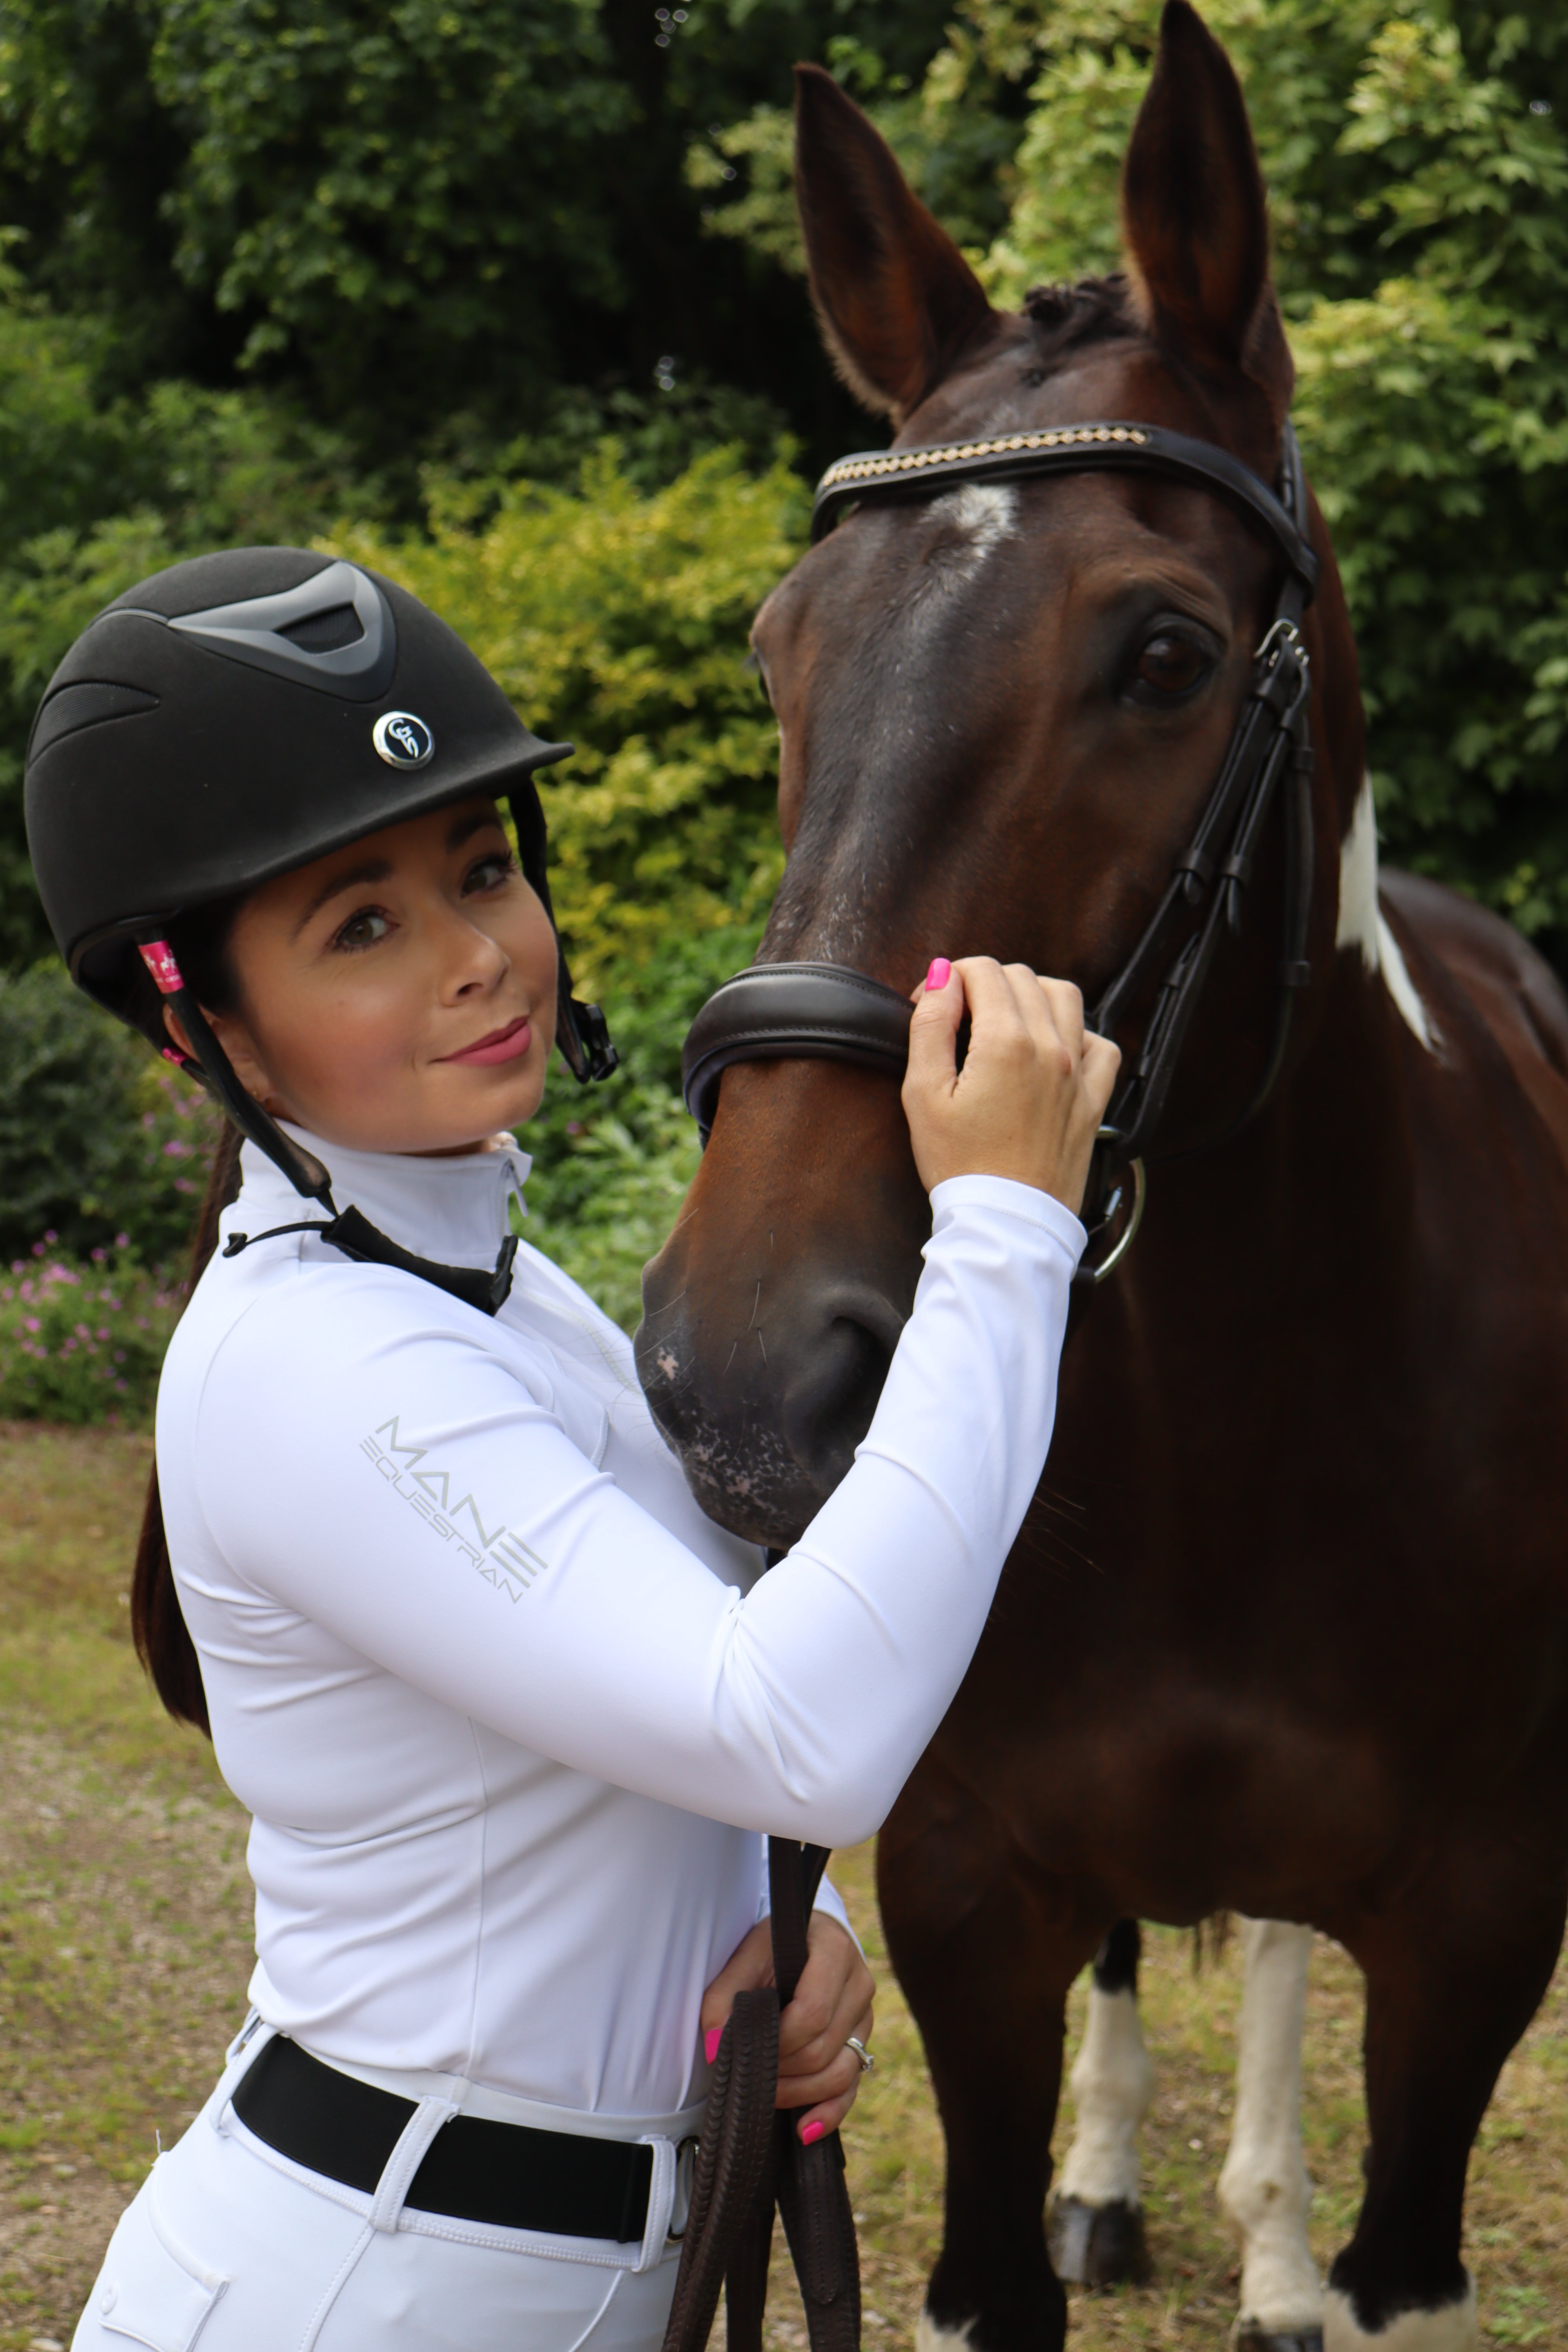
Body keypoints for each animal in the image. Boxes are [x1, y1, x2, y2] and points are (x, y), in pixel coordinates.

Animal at [633, 6, 1568, 2347]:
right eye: (784, 647)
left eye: (1161, 654)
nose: (743, 1376)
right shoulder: (966, 1897)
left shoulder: (1478, 1934)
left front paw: (1302, 2255)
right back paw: (1121, 2183)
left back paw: (1265, 2242)